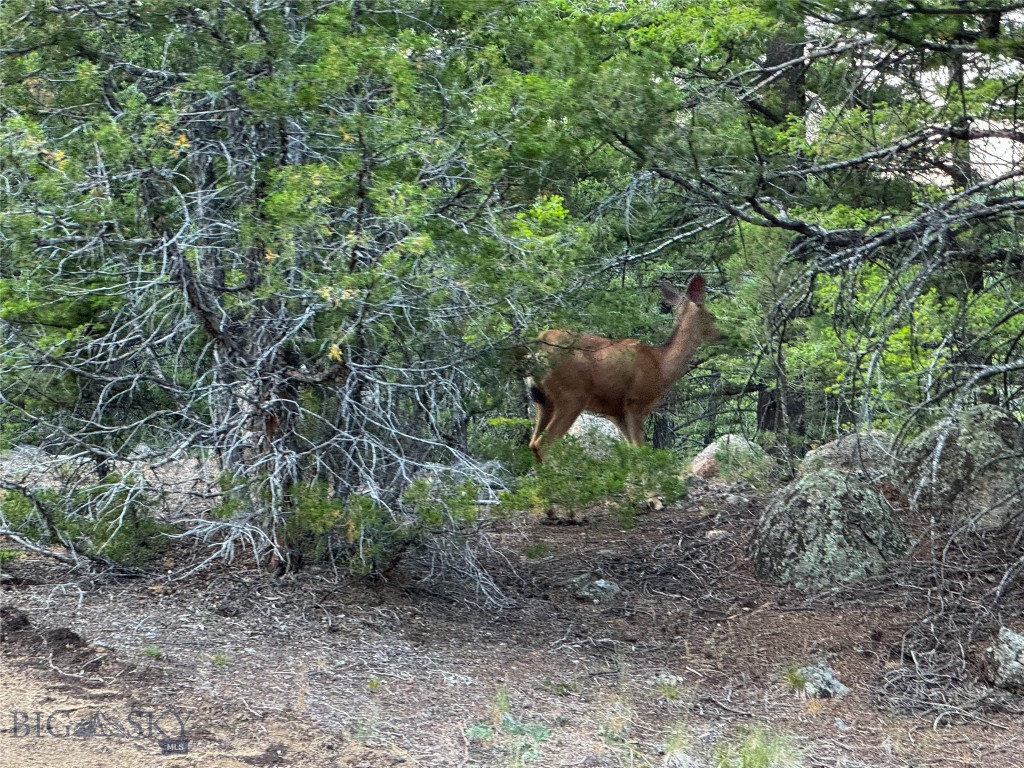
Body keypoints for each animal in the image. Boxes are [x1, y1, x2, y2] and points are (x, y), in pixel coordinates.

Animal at [528, 280, 720, 466]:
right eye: (712, 315)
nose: (724, 334)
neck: (662, 364)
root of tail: (538, 346)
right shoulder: (635, 402)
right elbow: (641, 453)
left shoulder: (616, 413)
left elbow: (633, 452)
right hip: (572, 395)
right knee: (543, 443)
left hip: (544, 402)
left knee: (532, 443)